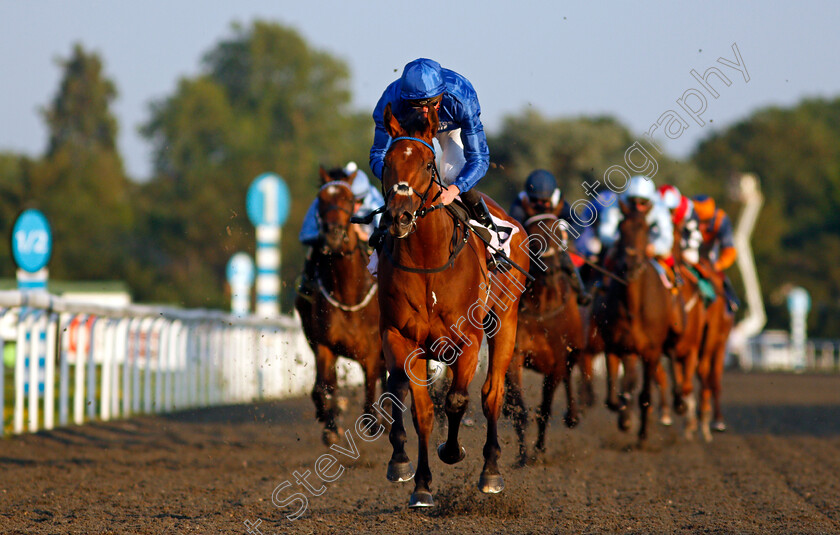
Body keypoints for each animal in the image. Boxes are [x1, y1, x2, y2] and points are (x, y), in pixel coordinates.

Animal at [378, 102, 528, 508]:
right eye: (387, 162)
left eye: (428, 163)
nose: (399, 216)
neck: (428, 260)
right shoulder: (401, 338)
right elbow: (422, 409)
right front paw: (420, 484)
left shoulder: (468, 340)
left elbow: (458, 400)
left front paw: (452, 450)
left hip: (505, 322)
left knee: (492, 394)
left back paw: (490, 471)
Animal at [506, 207, 584, 466]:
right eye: (533, 236)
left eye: (559, 234)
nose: (548, 270)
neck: (541, 308)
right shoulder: (516, 354)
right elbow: (519, 408)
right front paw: (522, 456)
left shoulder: (557, 362)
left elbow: (546, 408)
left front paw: (539, 450)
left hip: (575, 349)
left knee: (571, 375)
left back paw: (572, 416)